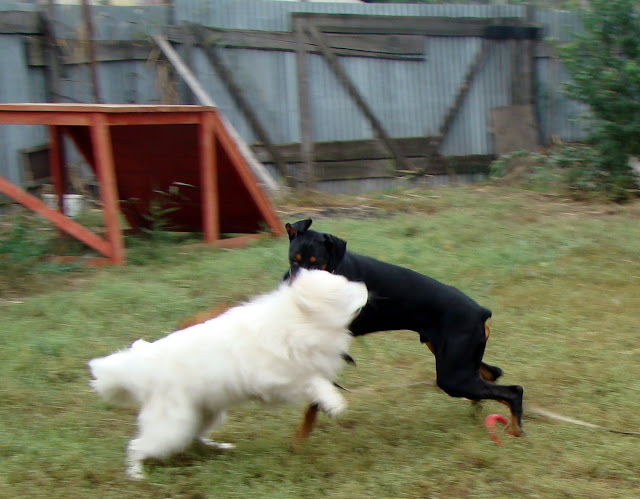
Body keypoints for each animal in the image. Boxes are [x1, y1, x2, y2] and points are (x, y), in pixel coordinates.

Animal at [89, 269, 368, 479]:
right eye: (346, 290)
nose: (365, 283)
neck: (296, 320)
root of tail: (144, 370)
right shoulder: (276, 381)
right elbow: (313, 381)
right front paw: (334, 402)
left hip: (204, 414)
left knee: (196, 437)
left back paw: (218, 447)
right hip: (172, 427)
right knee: (137, 446)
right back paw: (136, 474)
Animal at [285, 218, 524, 441]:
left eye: (317, 264)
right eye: (293, 260)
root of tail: (481, 311)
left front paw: (299, 439)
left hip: (453, 376)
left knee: (513, 391)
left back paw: (515, 432)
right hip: (456, 361)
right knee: (492, 374)